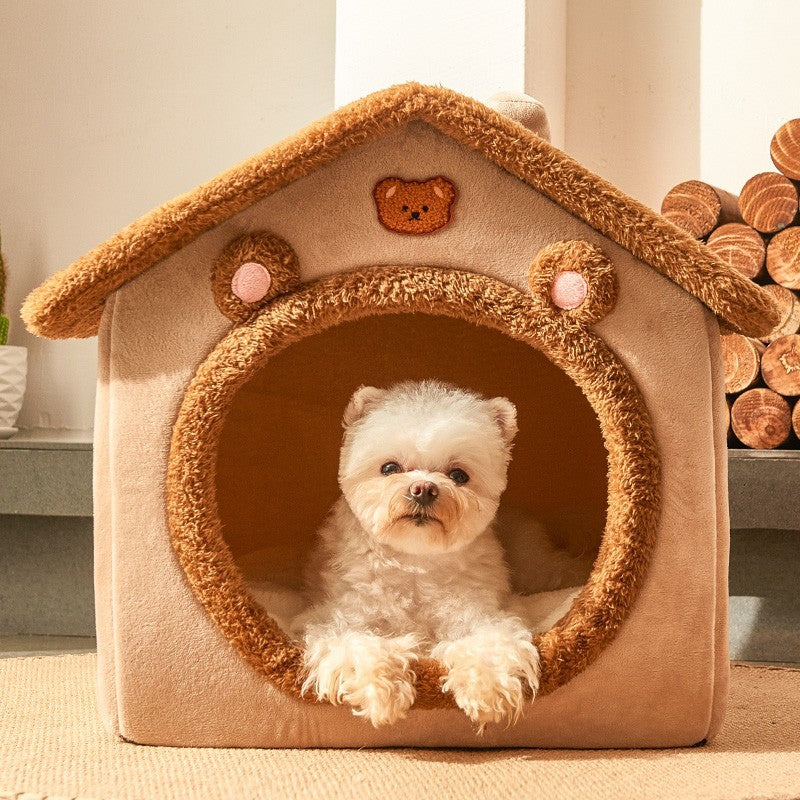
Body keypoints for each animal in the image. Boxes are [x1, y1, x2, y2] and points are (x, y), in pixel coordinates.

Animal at [290, 382, 564, 732]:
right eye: (389, 468)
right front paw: (382, 691)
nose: (423, 488)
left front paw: (489, 688)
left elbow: (490, 643)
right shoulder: (341, 620)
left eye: (459, 475)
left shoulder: (477, 613)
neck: (415, 563)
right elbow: (360, 645)